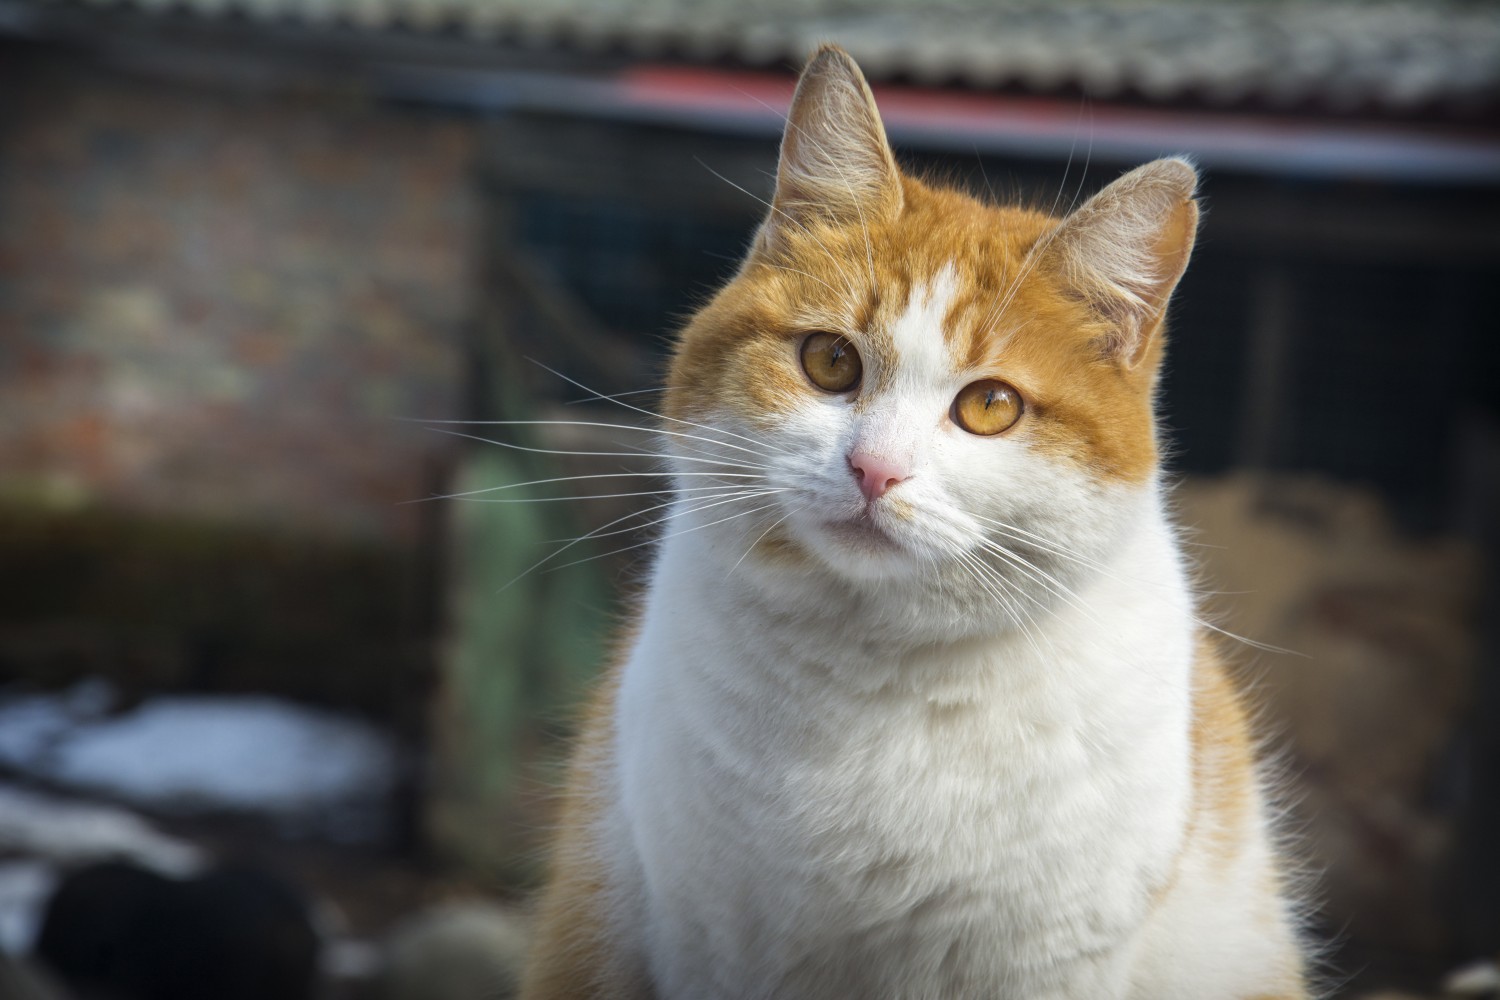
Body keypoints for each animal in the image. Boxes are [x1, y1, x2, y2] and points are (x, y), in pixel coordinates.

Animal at [519, 44, 1314, 1000]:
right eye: (830, 361)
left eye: (991, 407)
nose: (874, 469)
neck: (876, 676)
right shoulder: (710, 936)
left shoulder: (1047, 961)